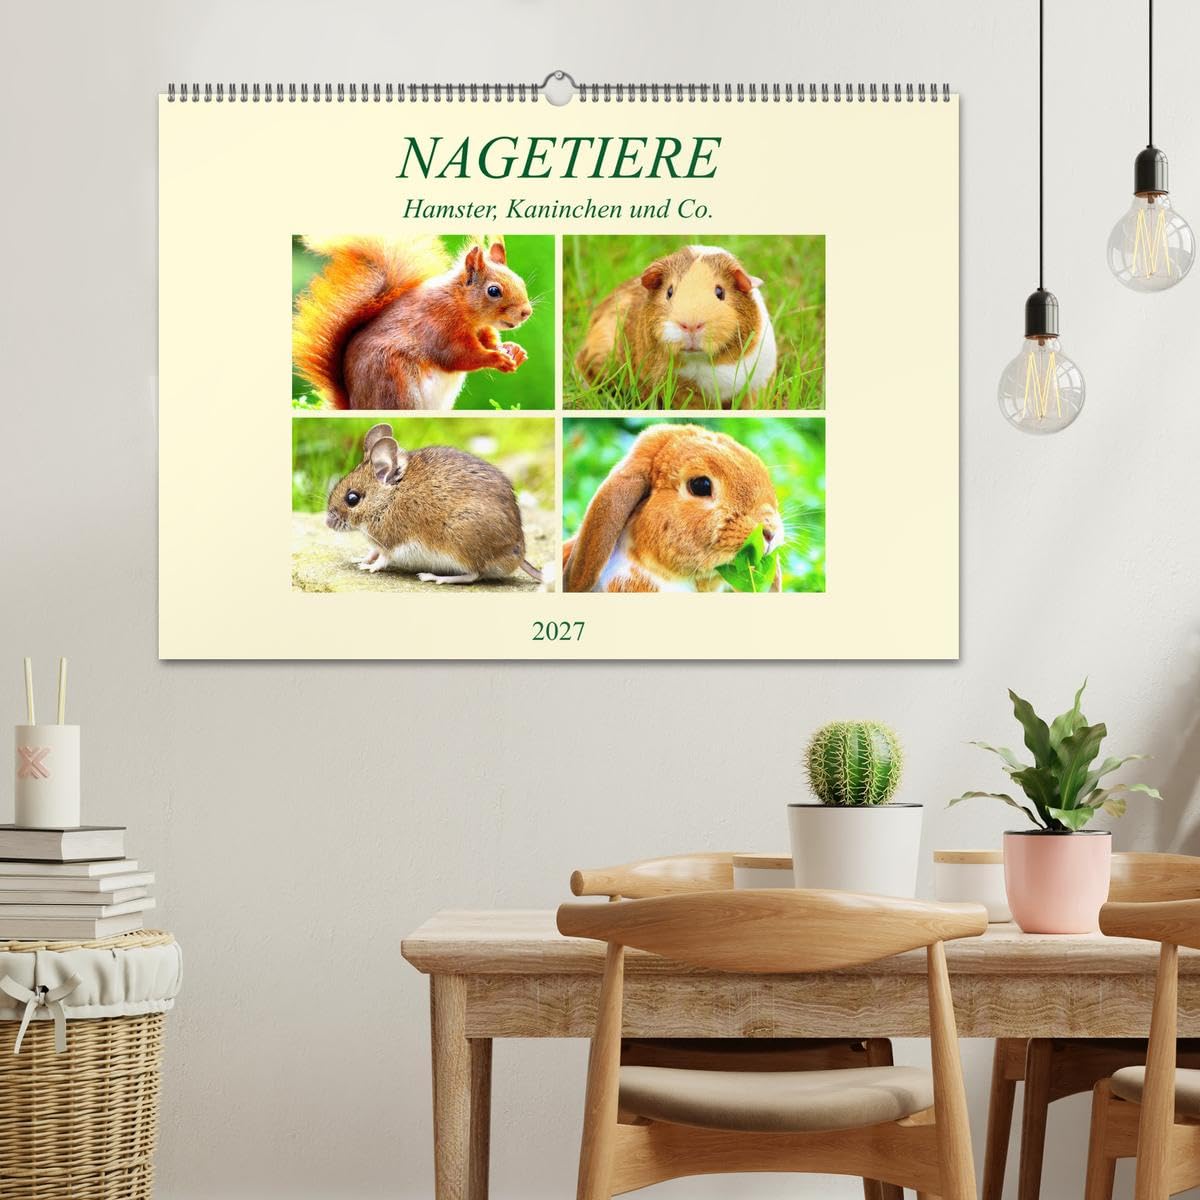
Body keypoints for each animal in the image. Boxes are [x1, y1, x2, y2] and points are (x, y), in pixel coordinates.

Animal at [325, 423, 543, 584]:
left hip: (459, 545)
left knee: (473, 575)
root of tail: (518, 554)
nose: (327, 523)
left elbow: (383, 559)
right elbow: (373, 551)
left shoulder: (392, 541)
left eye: (352, 499)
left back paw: (435, 577)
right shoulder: (378, 542)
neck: (387, 498)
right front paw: (360, 559)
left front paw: (370, 567)